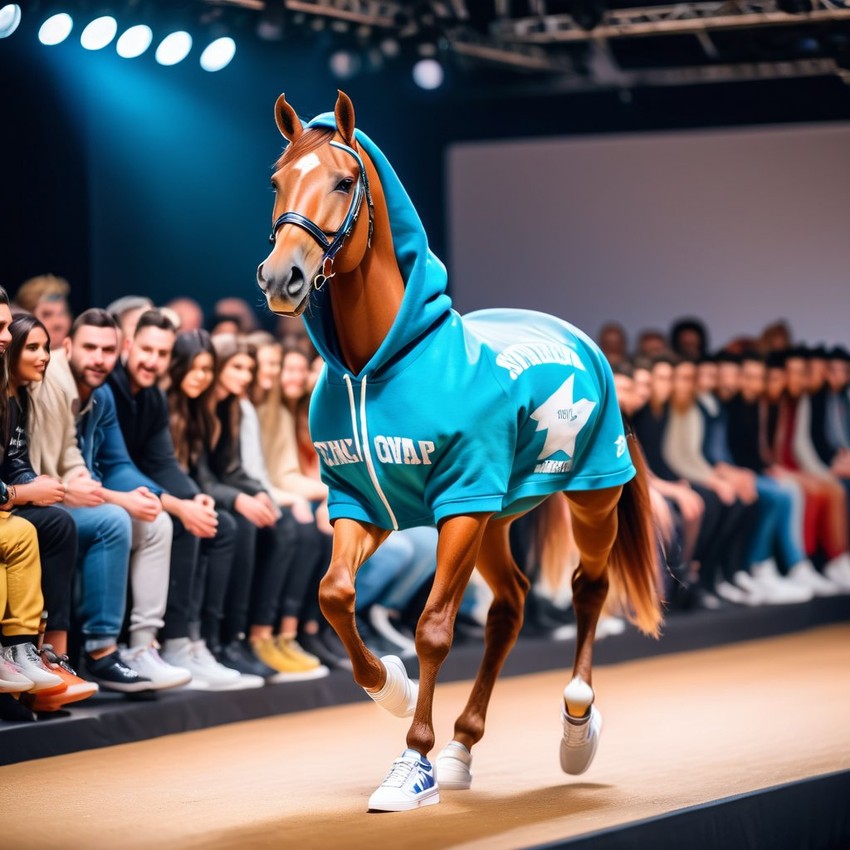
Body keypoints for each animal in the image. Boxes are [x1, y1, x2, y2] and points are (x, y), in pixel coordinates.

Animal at [255, 89, 660, 812]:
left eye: (345, 180)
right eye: (276, 182)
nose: (283, 277)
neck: (376, 364)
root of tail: (577, 335)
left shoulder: (460, 501)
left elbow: (434, 628)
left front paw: (410, 762)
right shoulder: (365, 503)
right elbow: (334, 593)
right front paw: (391, 690)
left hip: (588, 496)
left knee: (588, 587)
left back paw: (576, 724)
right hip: (495, 519)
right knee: (510, 608)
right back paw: (462, 746)